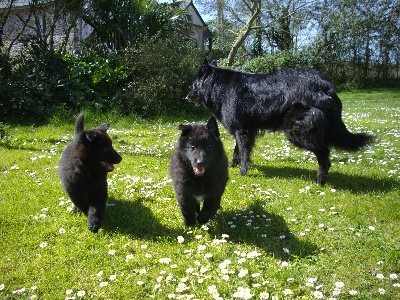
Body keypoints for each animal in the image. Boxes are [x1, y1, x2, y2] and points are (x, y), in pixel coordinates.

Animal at [186, 59, 374, 185]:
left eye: (193, 85)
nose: (186, 97)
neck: (219, 87)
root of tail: (326, 86)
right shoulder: (244, 129)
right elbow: (237, 150)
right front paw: (233, 165)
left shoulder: (243, 130)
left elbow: (244, 152)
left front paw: (243, 172)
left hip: (297, 131)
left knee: (324, 154)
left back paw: (319, 181)